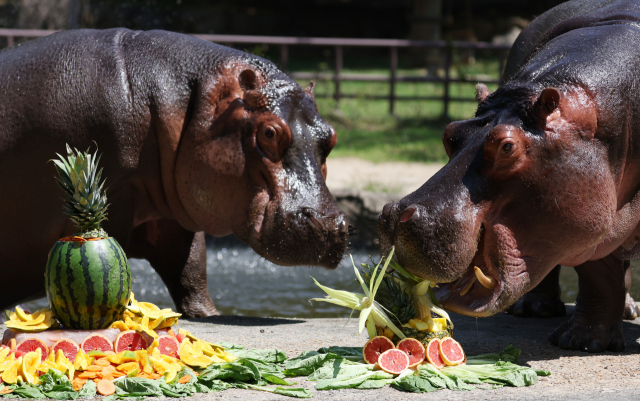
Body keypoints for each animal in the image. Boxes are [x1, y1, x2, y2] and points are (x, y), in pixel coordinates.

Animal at [0, 27, 350, 316]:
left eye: (332, 136)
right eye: (269, 133)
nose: (330, 225)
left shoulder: (173, 213)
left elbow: (191, 271)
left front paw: (207, 314)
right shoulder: (114, 193)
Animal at [380, 0, 640, 350]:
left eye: (506, 146)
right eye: (450, 133)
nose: (395, 215)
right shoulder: (594, 221)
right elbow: (600, 273)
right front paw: (581, 342)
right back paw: (534, 309)